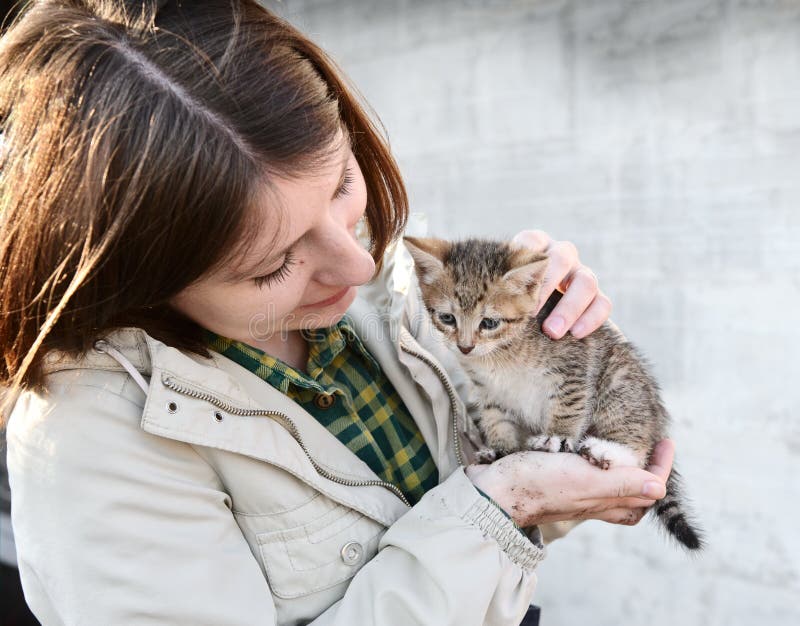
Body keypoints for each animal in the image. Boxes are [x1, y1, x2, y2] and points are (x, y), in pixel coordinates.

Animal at [406, 236, 700, 548]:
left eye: (489, 323)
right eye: (447, 318)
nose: (464, 347)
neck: (501, 353)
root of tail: (657, 420)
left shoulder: (574, 363)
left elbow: (568, 405)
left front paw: (556, 437)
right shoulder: (487, 390)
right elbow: (496, 419)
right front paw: (501, 450)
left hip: (620, 385)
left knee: (640, 450)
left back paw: (606, 449)